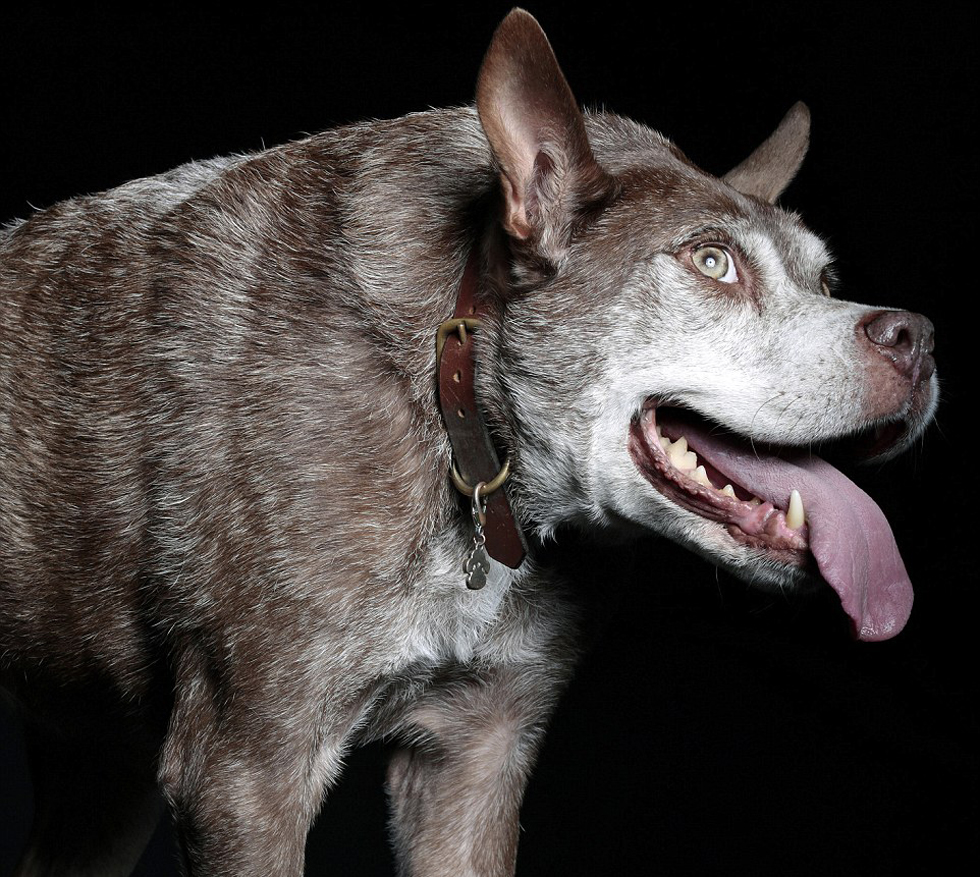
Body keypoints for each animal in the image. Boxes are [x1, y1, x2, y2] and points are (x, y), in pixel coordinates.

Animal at [0, 8, 936, 876]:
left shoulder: (476, 754)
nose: (920, 339)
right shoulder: (246, 769)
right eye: (712, 262)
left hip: (103, 775)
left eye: (826, 278)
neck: (458, 422)